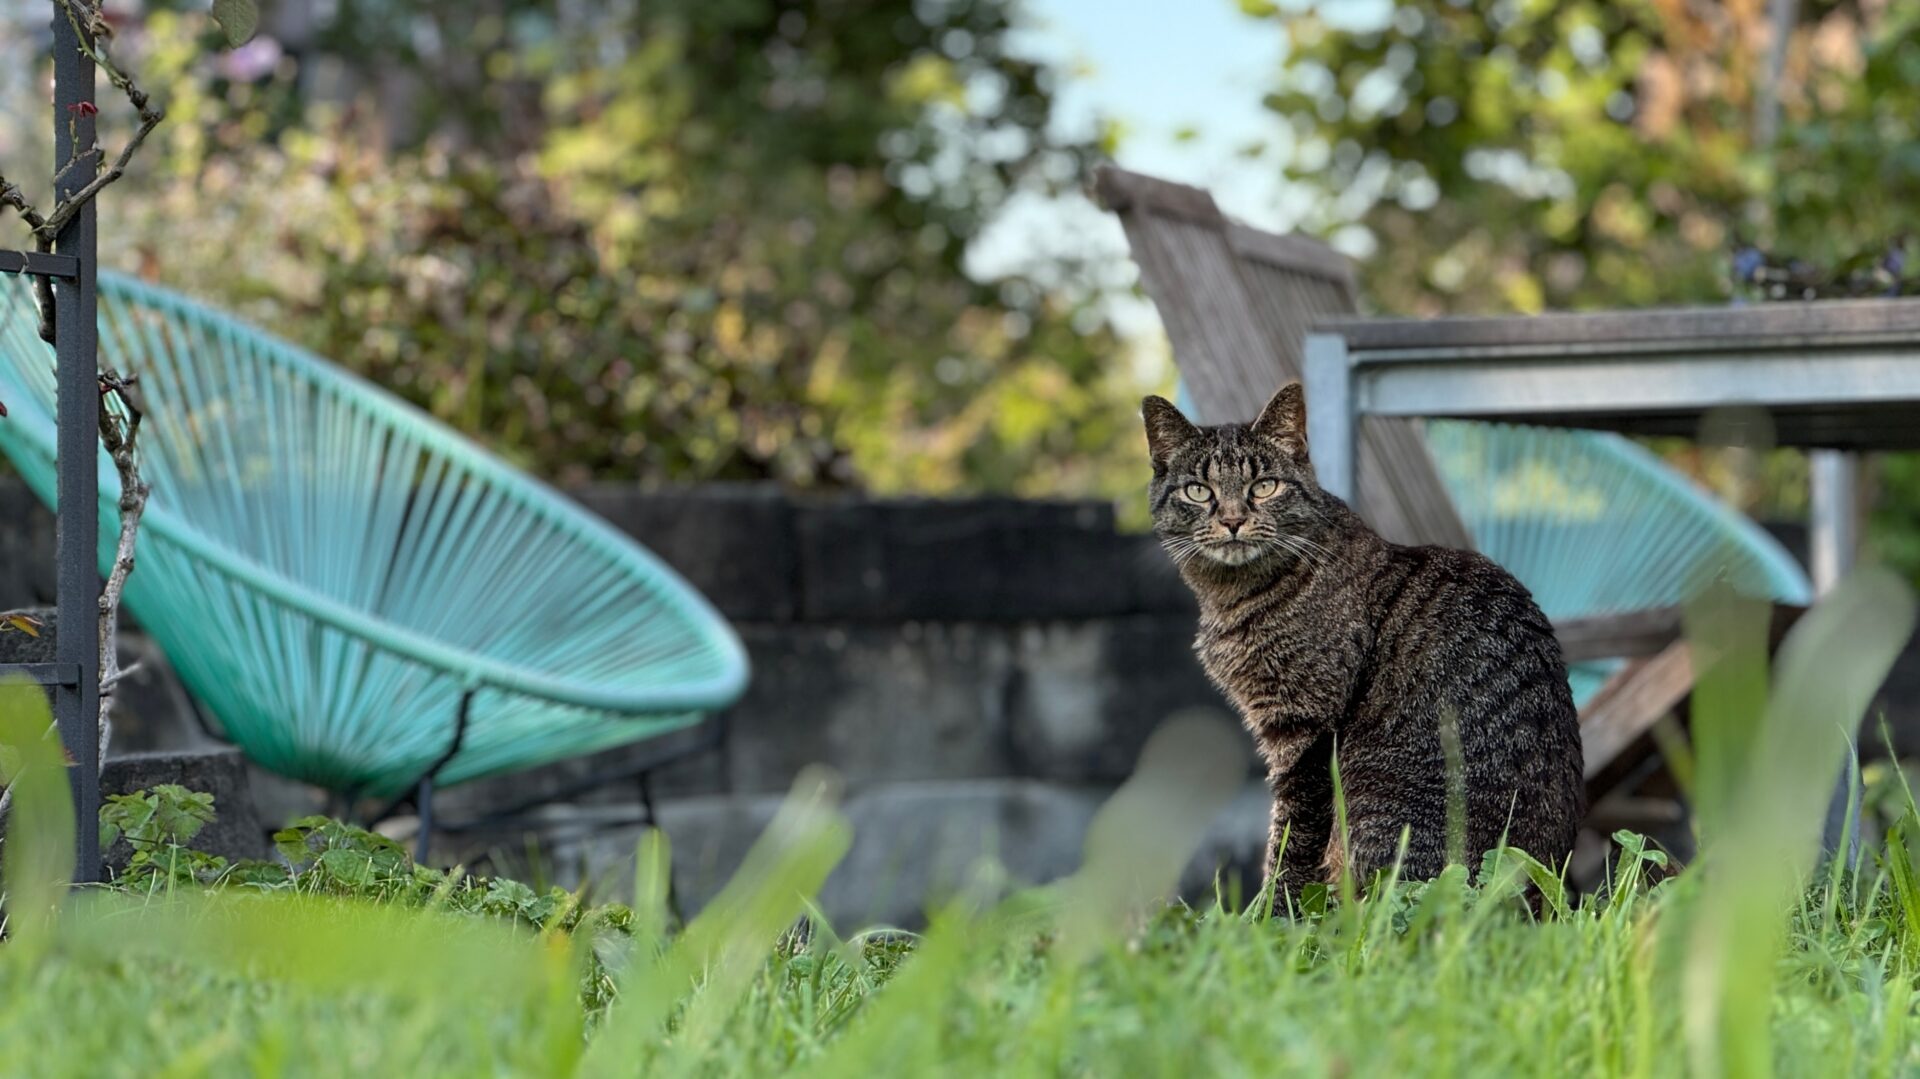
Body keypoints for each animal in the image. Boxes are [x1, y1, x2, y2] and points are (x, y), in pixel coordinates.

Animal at [1144, 382, 1582, 887]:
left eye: (1264, 486)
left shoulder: (1308, 732)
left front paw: (1271, 907)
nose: (1233, 520)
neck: (1233, 596)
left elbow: (1290, 846)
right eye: (1198, 491)